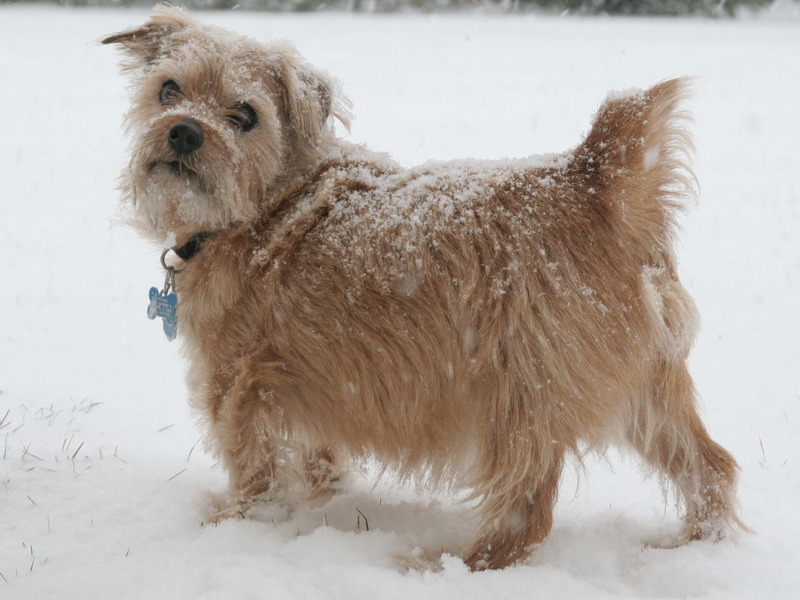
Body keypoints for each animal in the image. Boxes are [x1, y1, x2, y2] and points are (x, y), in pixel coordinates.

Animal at [104, 5, 744, 568]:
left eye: (244, 115)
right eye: (168, 90)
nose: (184, 132)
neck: (266, 201)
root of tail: (590, 179)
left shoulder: (235, 383)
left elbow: (253, 471)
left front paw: (234, 526)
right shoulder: (311, 388)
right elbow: (316, 460)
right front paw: (321, 502)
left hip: (519, 403)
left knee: (526, 515)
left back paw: (439, 566)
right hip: (652, 394)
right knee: (712, 467)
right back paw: (694, 547)